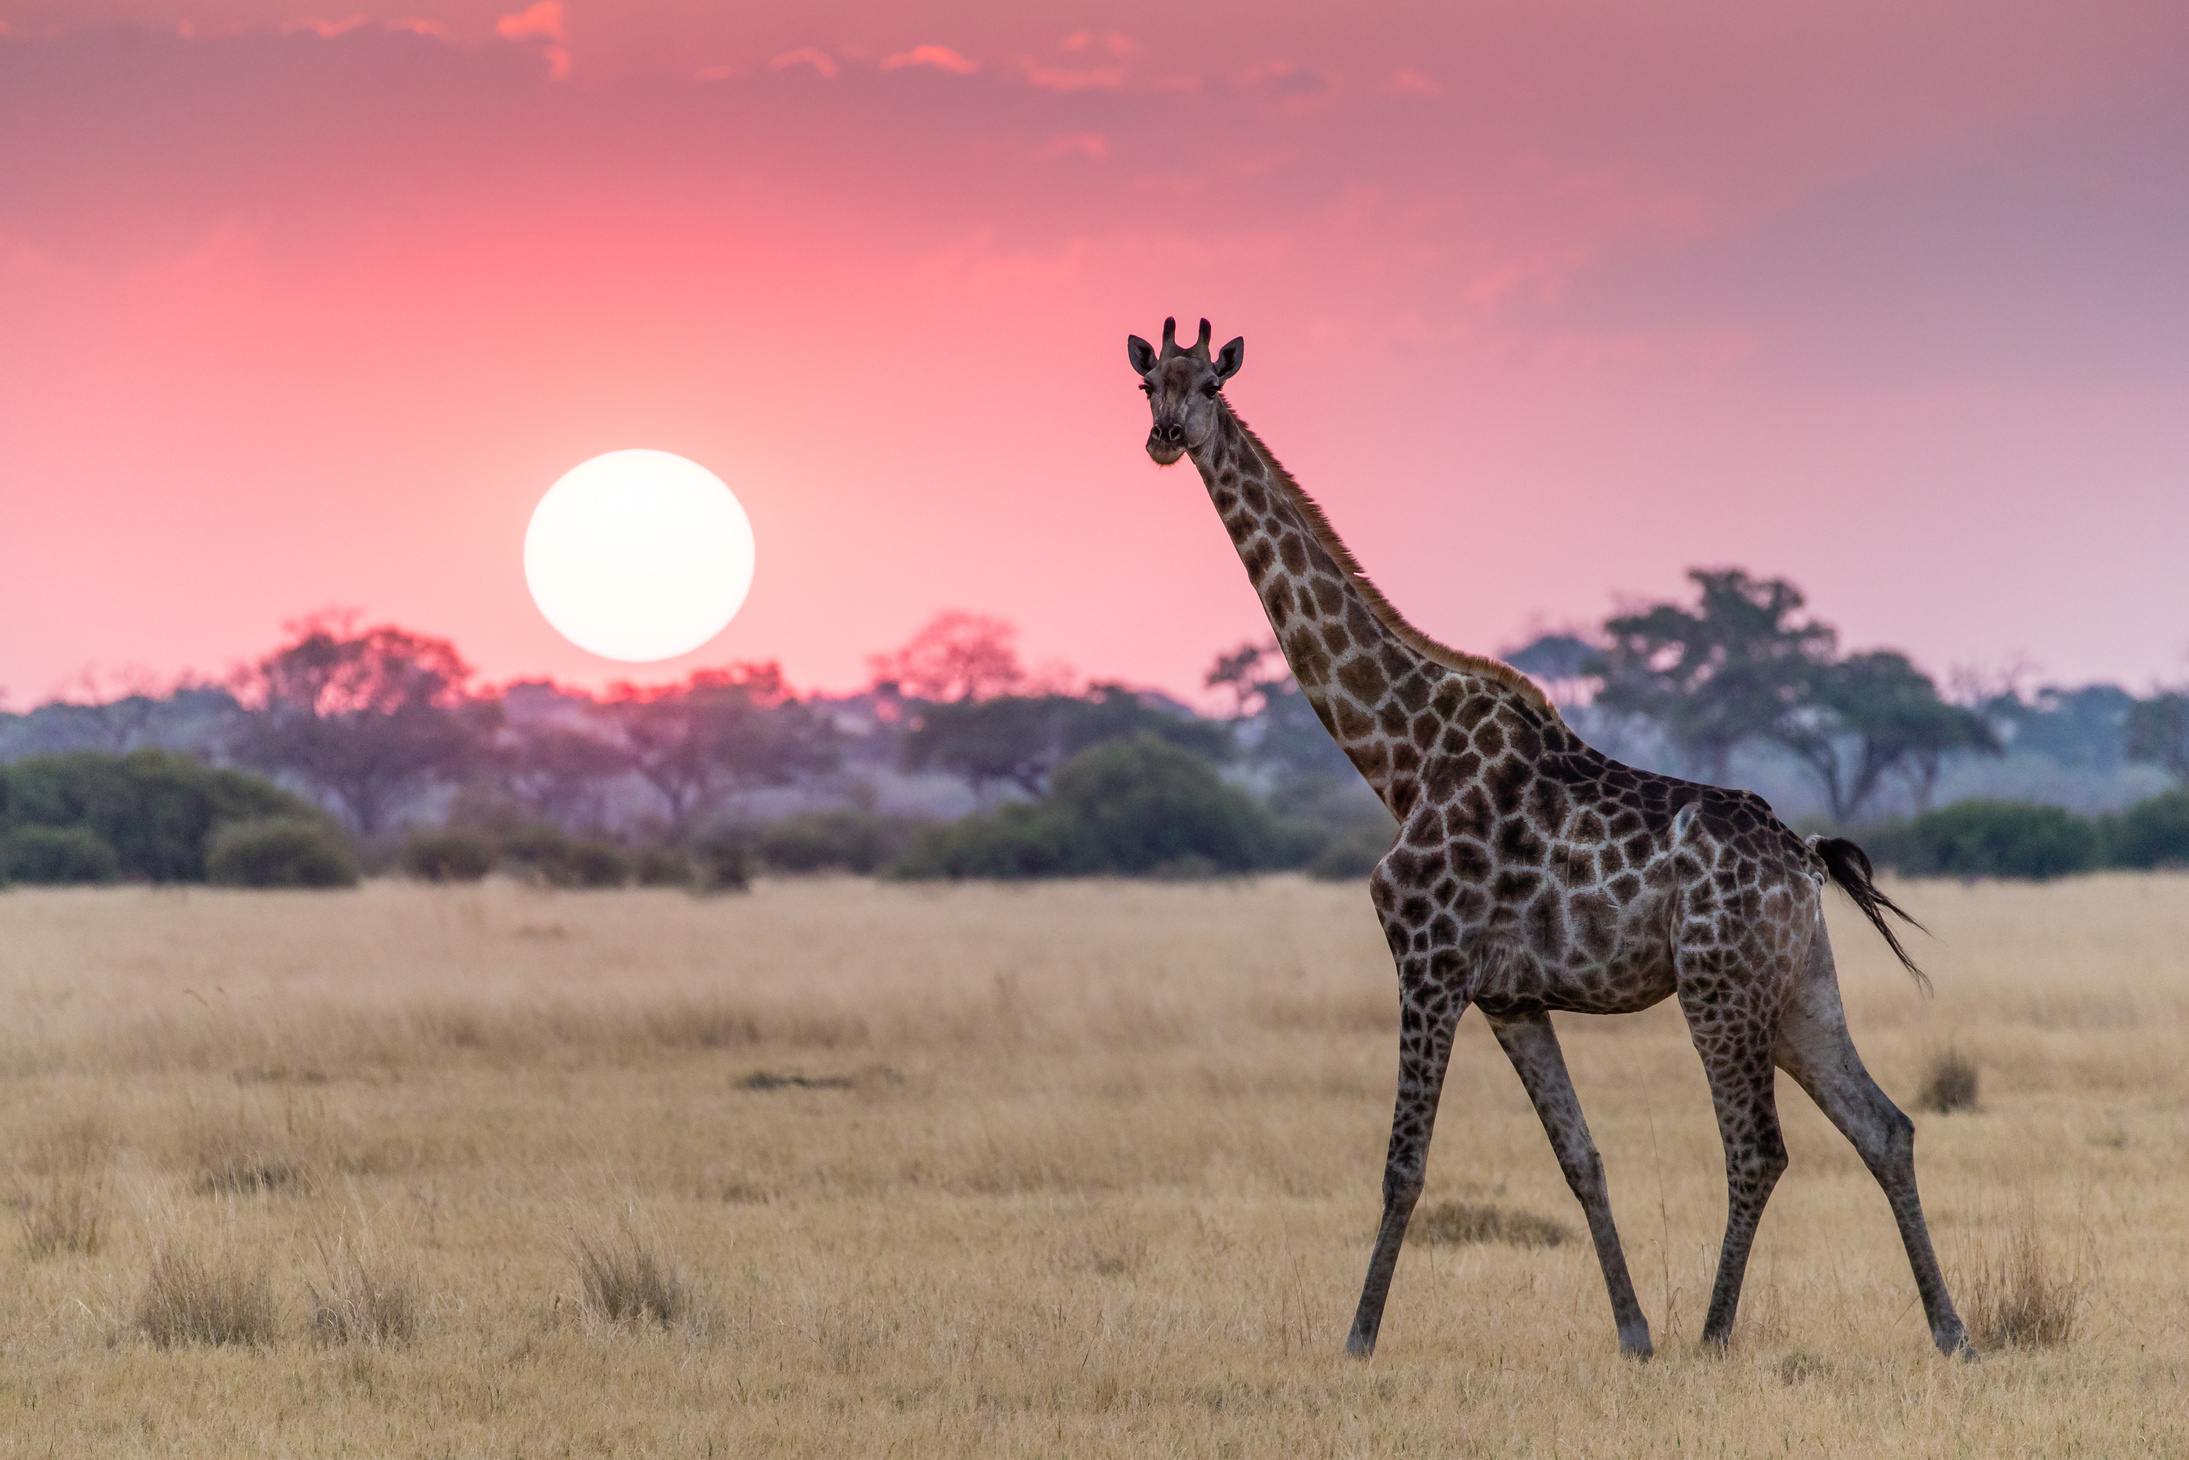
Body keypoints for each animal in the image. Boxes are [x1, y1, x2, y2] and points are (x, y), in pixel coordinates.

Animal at [1129, 317, 1970, 1357]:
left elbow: (1403, 1165)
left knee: (1757, 1151)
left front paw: (1358, 1338)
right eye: (1146, 384)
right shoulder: (1511, 998)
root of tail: (1806, 860)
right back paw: (1949, 1331)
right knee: (1883, 1125)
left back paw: (1714, 1335)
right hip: (1799, 985)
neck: (1400, 755)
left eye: (1208, 383)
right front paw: (1632, 1334)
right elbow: (1581, 1158)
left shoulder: (1429, 964)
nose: (1165, 437)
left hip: (1718, 986)